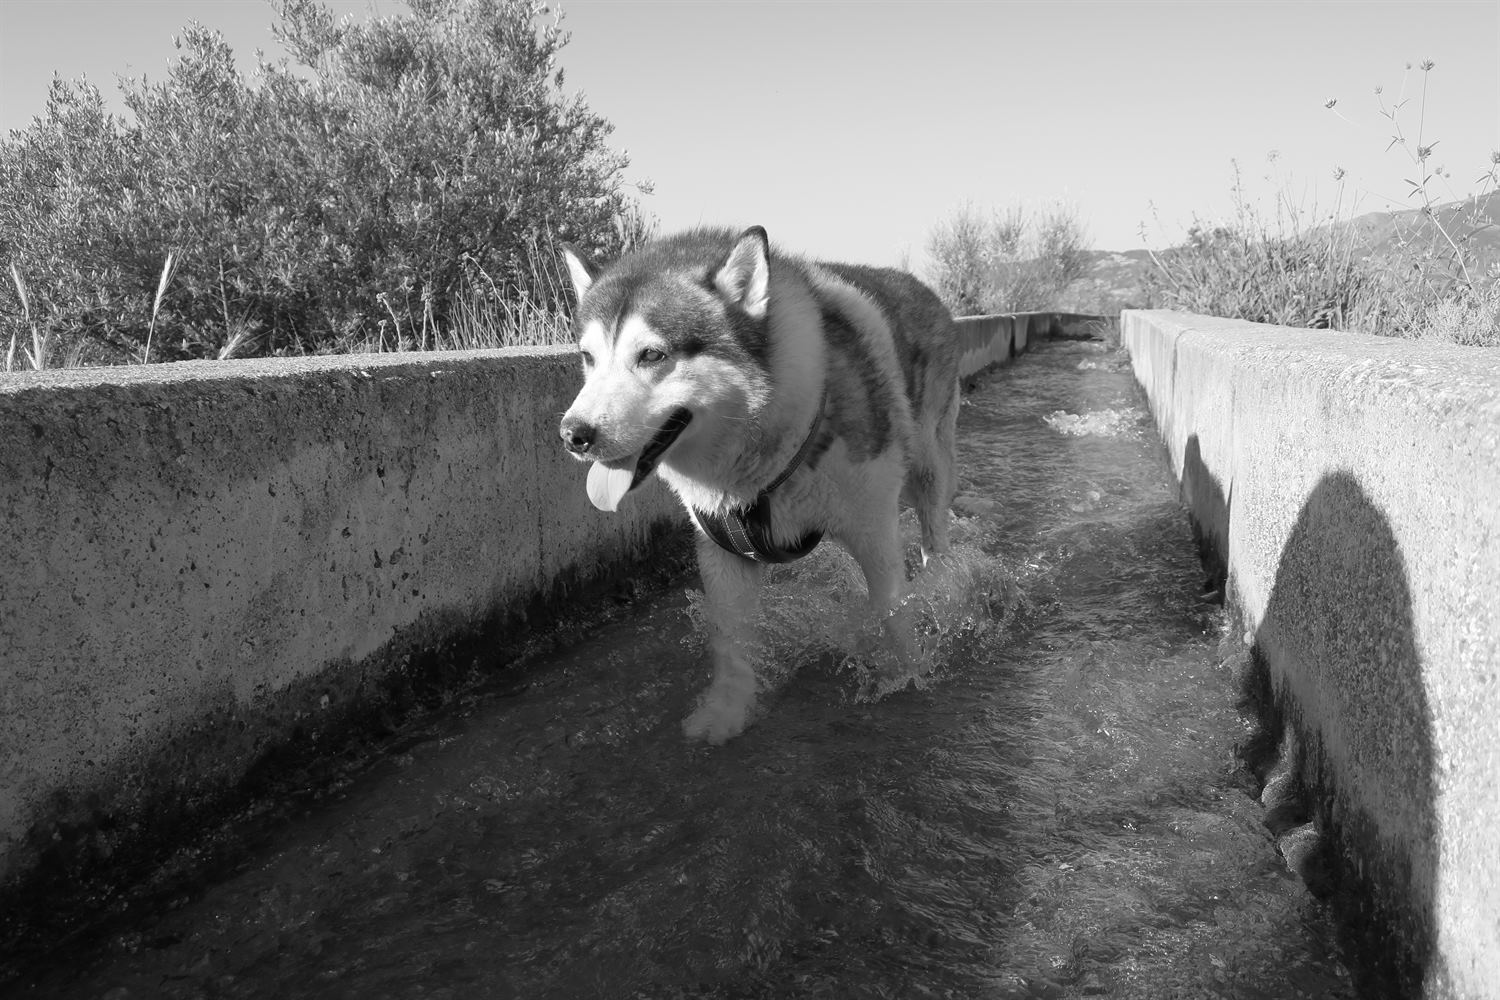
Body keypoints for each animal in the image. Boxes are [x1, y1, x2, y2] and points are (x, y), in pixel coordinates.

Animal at [555, 226, 960, 743]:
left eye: (652, 355)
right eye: (587, 357)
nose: (573, 434)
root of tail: (924, 288)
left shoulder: (874, 529)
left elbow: (892, 612)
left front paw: (908, 674)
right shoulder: (723, 550)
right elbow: (730, 643)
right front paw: (726, 711)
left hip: (928, 466)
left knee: (934, 531)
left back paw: (942, 584)